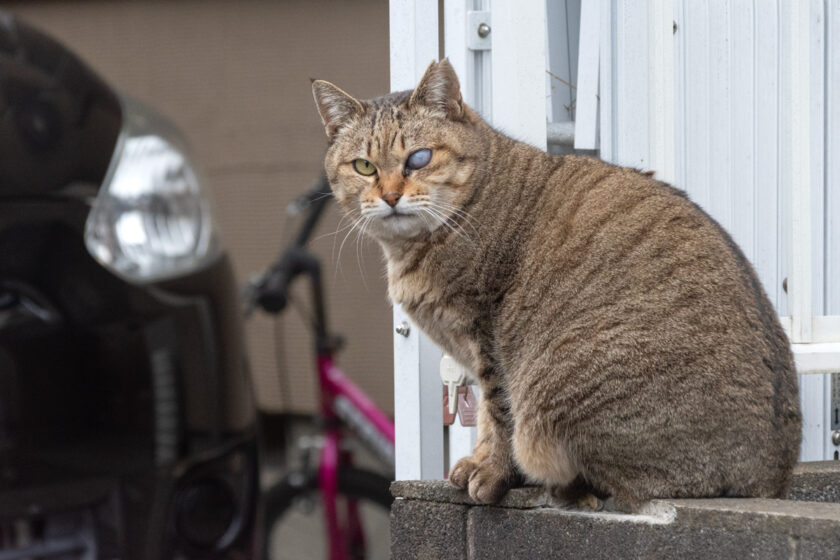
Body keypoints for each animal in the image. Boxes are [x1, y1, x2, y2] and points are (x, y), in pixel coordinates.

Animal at [312, 59, 804, 510]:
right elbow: (487, 418)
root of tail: (772, 477)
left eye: (418, 158)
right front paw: (477, 461)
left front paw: (493, 473)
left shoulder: (488, 335)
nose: (391, 196)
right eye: (364, 166)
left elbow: (499, 412)